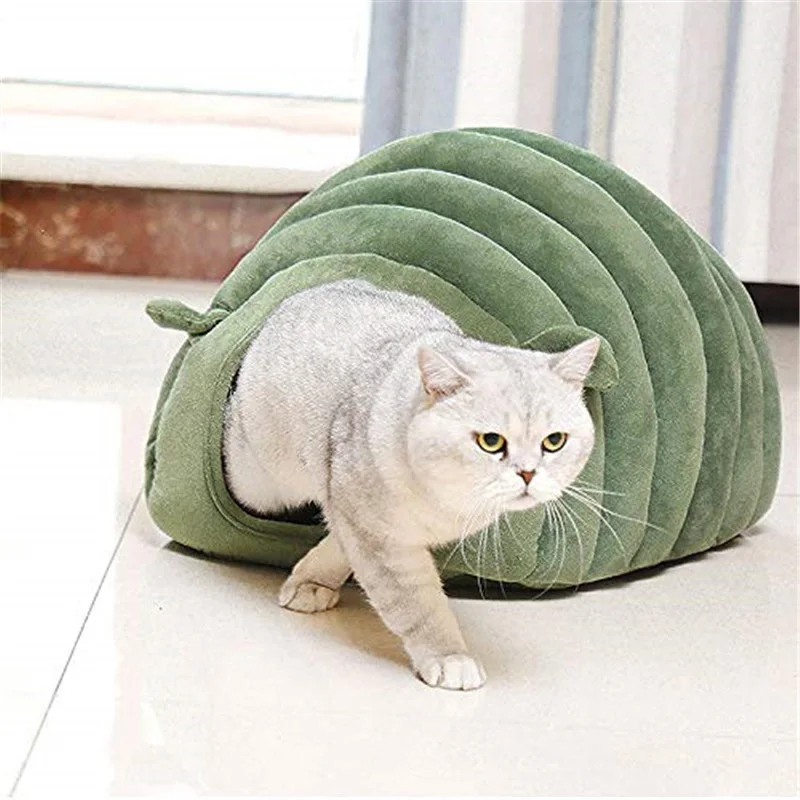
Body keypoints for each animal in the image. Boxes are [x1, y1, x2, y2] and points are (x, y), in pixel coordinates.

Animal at [223, 279, 599, 690]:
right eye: (491, 441)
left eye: (554, 441)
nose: (528, 473)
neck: (446, 499)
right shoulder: (383, 539)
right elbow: (419, 606)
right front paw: (451, 658)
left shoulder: (357, 516)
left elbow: (339, 544)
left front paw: (311, 581)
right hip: (259, 479)